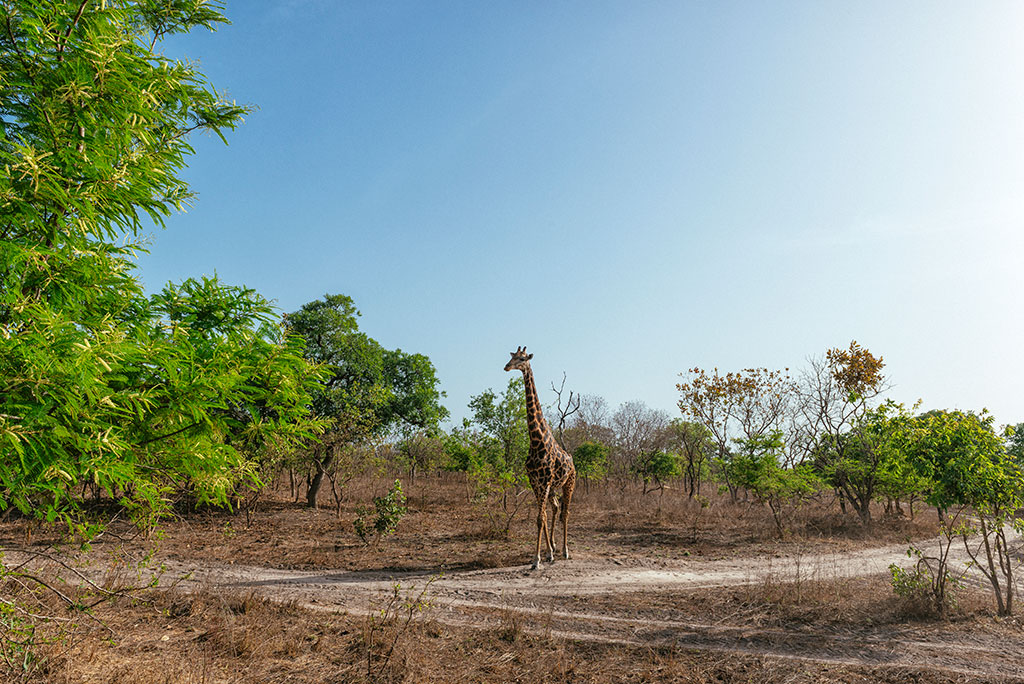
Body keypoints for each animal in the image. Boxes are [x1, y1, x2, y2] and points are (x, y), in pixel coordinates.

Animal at [503, 344, 577, 569]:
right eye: (512, 356)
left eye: (523, 358)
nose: (506, 367)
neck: (536, 440)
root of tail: (573, 461)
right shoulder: (536, 481)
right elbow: (541, 517)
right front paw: (545, 553)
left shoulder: (543, 482)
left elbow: (539, 518)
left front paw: (537, 560)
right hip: (552, 487)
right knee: (555, 508)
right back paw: (552, 547)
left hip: (569, 483)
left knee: (565, 512)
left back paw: (565, 550)